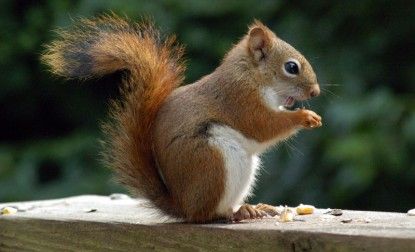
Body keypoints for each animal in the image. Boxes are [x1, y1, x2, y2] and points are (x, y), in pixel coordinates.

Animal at [41, 14, 322, 222]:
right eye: (291, 67)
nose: (315, 92)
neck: (251, 75)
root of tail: (182, 205)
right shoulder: (240, 100)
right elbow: (264, 125)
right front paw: (305, 116)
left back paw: (255, 208)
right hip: (213, 162)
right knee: (207, 214)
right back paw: (236, 212)